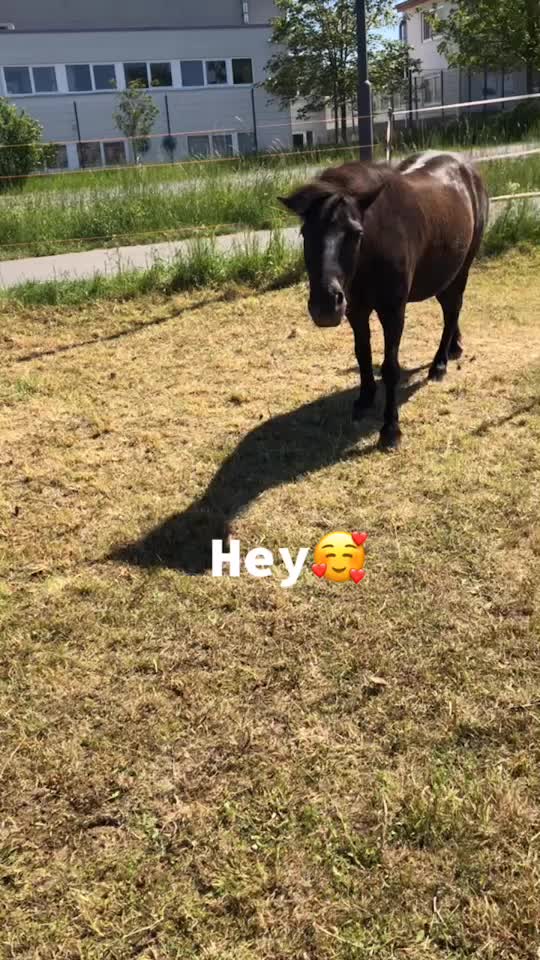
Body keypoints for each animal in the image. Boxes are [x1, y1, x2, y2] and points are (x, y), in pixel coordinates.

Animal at [280, 152, 489, 449]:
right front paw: (365, 398)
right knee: (451, 309)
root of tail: (467, 166)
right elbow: (362, 354)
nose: (325, 306)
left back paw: (439, 364)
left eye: (356, 233)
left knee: (452, 310)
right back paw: (454, 347)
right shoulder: (356, 310)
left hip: (463, 268)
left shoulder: (392, 312)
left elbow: (390, 367)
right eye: (305, 233)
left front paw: (390, 429)